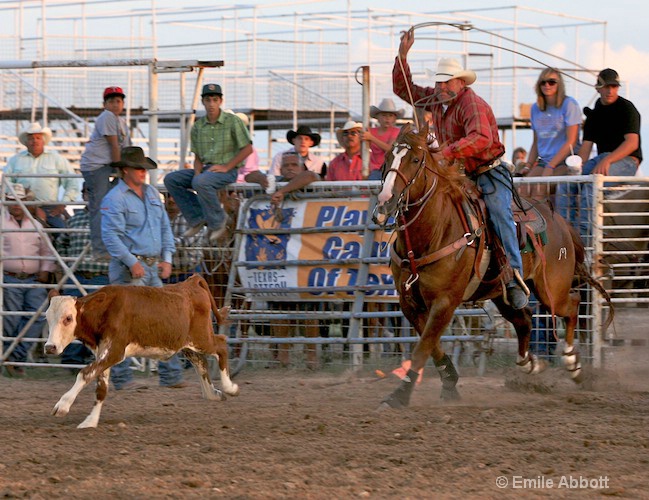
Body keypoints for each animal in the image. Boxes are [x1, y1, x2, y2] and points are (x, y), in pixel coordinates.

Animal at [44, 274, 239, 430]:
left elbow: (84, 374)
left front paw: (62, 406)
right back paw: (213, 394)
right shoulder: (103, 352)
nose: (49, 347)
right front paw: (90, 421)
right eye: (47, 317)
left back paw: (230, 388)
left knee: (221, 345)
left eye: (68, 318)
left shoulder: (115, 351)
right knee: (201, 363)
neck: (106, 309)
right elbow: (100, 388)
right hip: (185, 345)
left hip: (202, 338)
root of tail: (190, 283)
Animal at [372, 124, 612, 406]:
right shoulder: (409, 302)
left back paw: (573, 364)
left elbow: (423, 348)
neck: (435, 230)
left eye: (415, 159)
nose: (385, 202)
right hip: (503, 293)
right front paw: (449, 382)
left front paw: (399, 395)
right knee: (524, 319)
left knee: (572, 305)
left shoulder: (445, 302)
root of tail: (561, 222)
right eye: (387, 157)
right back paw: (530, 363)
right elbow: (431, 345)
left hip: (551, 289)